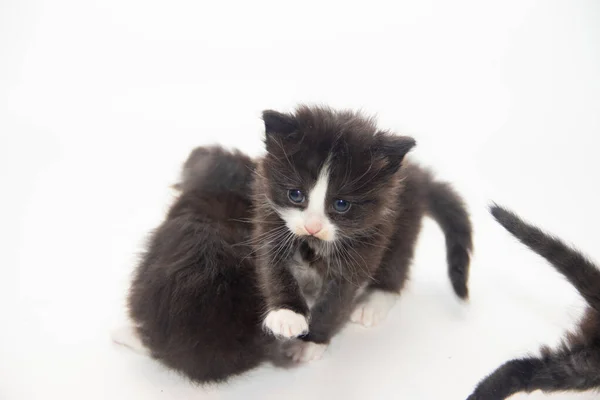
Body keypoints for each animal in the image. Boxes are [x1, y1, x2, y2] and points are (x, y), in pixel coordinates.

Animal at [253, 105, 474, 360]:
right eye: (295, 194)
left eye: (341, 204)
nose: (313, 227)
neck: (314, 243)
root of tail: (417, 173)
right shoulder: (270, 221)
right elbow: (273, 266)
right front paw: (287, 314)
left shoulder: (366, 243)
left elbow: (335, 301)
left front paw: (311, 341)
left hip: (405, 222)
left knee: (396, 263)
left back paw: (374, 302)